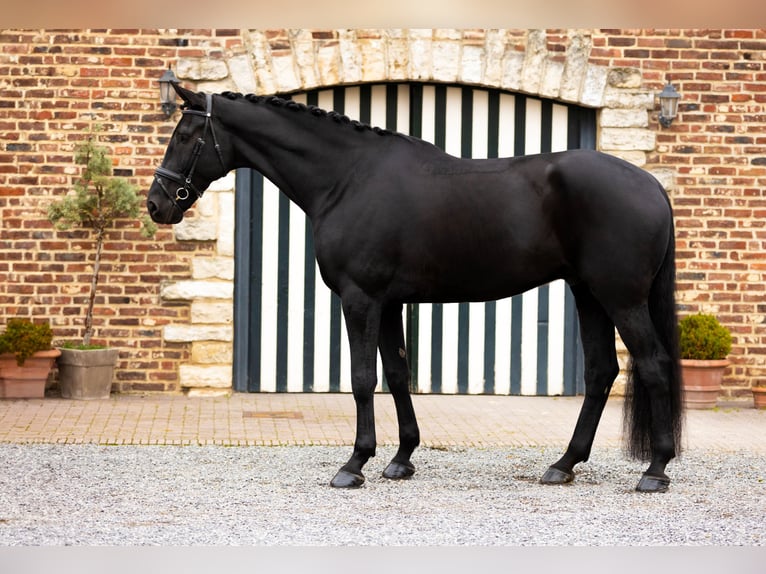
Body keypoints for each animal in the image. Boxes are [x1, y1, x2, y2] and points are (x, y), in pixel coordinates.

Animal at [148, 85, 684, 496]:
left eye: (185, 135)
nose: (157, 204)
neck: (347, 179)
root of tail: (652, 185)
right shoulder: (388, 304)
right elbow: (398, 373)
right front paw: (401, 458)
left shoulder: (359, 298)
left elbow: (363, 378)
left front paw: (354, 464)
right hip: (588, 293)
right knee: (600, 372)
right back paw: (563, 465)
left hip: (620, 298)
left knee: (652, 364)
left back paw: (655, 470)